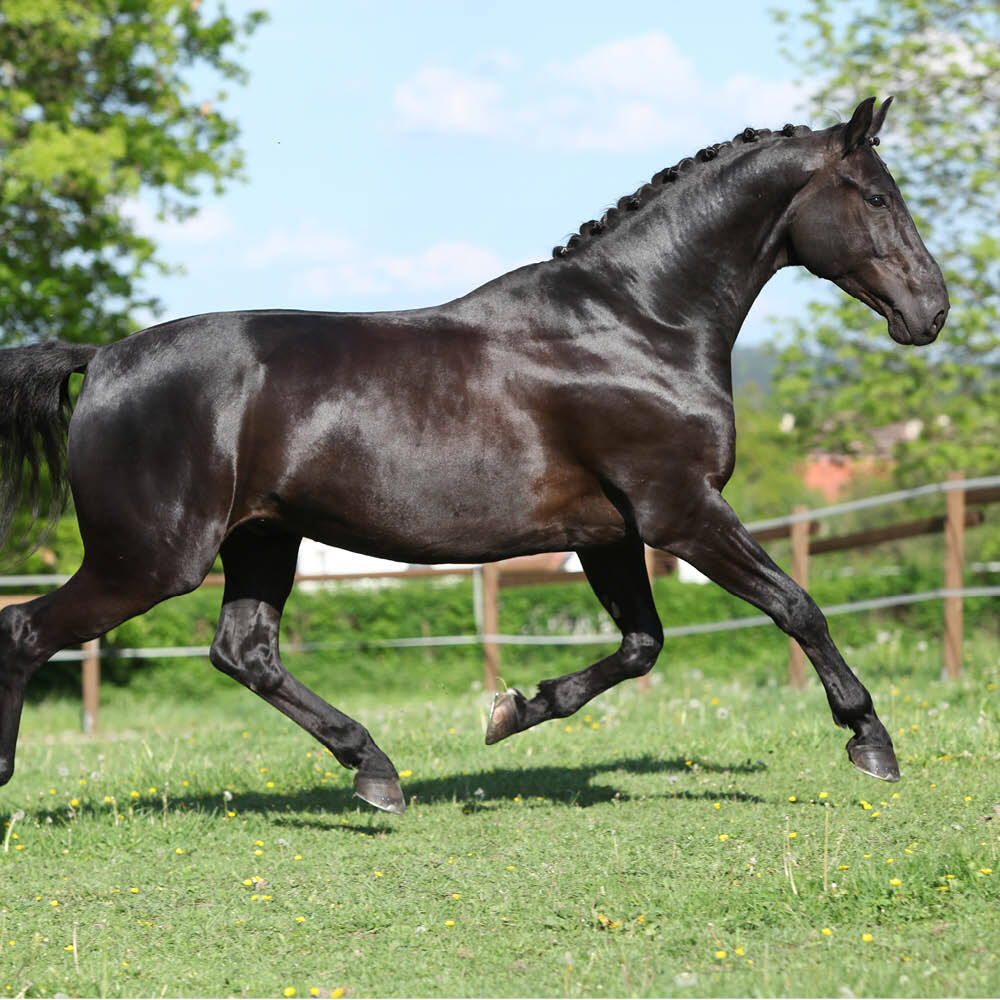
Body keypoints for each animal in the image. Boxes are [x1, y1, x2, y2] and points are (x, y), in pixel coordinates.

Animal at [0, 98, 948, 814]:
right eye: (874, 196)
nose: (931, 312)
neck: (639, 324)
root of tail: (102, 357)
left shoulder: (610, 533)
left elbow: (642, 645)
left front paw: (512, 710)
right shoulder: (680, 511)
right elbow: (797, 606)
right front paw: (872, 743)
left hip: (261, 538)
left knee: (244, 652)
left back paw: (377, 774)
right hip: (153, 559)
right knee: (26, 630)